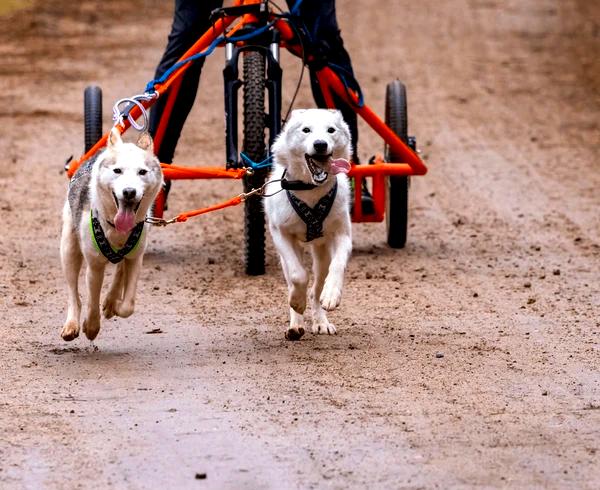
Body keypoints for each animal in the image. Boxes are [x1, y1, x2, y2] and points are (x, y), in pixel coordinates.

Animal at [60, 129, 163, 340]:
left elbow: (128, 305)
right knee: (74, 292)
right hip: (68, 248)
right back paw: (72, 324)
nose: (129, 192)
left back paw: (110, 301)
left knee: (120, 270)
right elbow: (91, 301)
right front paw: (91, 327)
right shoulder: (94, 266)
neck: (115, 227)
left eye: (142, 172)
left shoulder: (136, 258)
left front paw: (113, 305)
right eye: (117, 171)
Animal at [264, 109, 354, 340]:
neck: (311, 191)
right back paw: (295, 324)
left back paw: (321, 321)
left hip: (321, 251)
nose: (320, 144)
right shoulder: (280, 234)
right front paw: (297, 302)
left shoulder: (342, 234)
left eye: (331, 130)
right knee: (294, 279)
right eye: (306, 130)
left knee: (317, 287)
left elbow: (337, 265)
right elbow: (299, 275)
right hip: (289, 253)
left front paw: (331, 294)